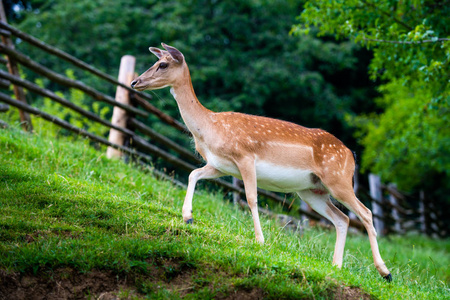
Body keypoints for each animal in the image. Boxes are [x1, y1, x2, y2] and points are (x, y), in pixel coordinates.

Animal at [130, 42, 390, 282]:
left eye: (163, 64)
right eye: (156, 61)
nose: (135, 82)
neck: (209, 129)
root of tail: (351, 154)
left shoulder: (245, 157)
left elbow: (251, 198)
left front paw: (260, 240)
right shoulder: (220, 165)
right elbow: (193, 174)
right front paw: (188, 217)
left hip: (338, 179)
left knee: (365, 212)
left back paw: (385, 272)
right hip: (311, 190)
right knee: (342, 219)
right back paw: (336, 266)